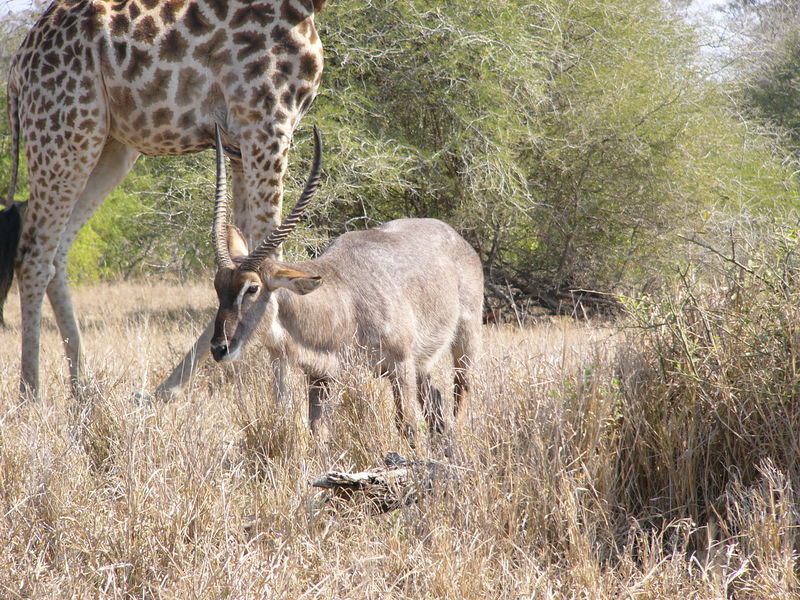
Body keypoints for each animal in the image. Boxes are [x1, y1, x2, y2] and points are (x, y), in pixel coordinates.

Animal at [3, 0, 328, 400]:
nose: (223, 349)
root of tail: (18, 67)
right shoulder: (266, 123)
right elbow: (271, 260)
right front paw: (283, 399)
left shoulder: (237, 143)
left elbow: (243, 250)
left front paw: (189, 387)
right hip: (64, 130)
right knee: (33, 253)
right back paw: (31, 396)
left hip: (110, 144)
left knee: (57, 253)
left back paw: (83, 392)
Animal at [211, 125, 482, 436]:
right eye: (218, 286)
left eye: (252, 287)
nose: (219, 348)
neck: (343, 299)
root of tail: (457, 237)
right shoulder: (321, 377)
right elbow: (318, 430)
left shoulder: (400, 366)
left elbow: (407, 426)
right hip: (422, 366)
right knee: (436, 404)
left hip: (464, 341)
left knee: (461, 391)